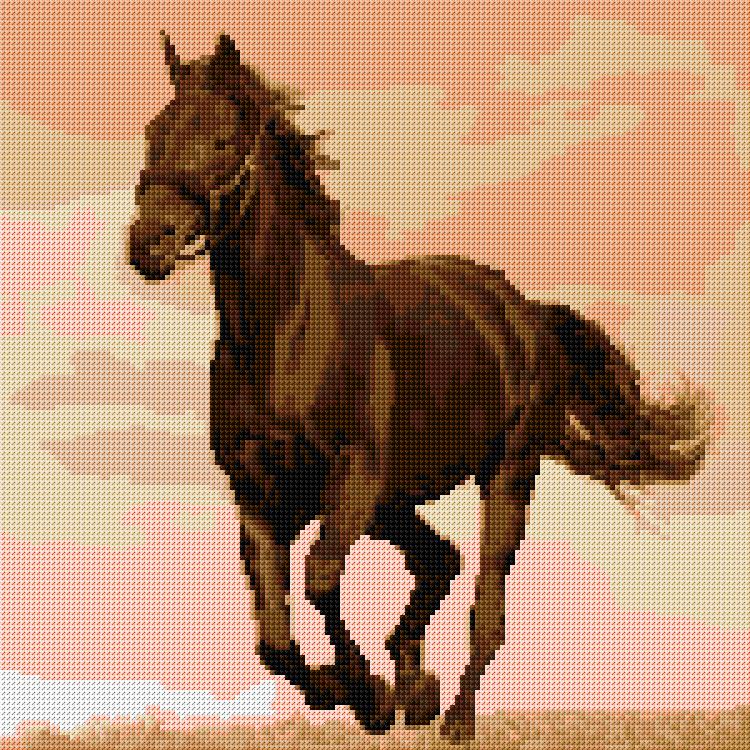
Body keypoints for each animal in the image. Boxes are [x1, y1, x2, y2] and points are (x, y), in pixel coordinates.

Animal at [128, 32, 710, 743]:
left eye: (221, 137)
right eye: (154, 131)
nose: (148, 243)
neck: (284, 335)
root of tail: (521, 310)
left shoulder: (353, 478)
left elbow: (320, 579)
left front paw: (369, 694)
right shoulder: (259, 494)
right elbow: (275, 640)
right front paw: (357, 691)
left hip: (502, 474)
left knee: (485, 602)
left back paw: (450, 715)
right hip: (395, 502)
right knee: (440, 561)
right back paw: (415, 684)